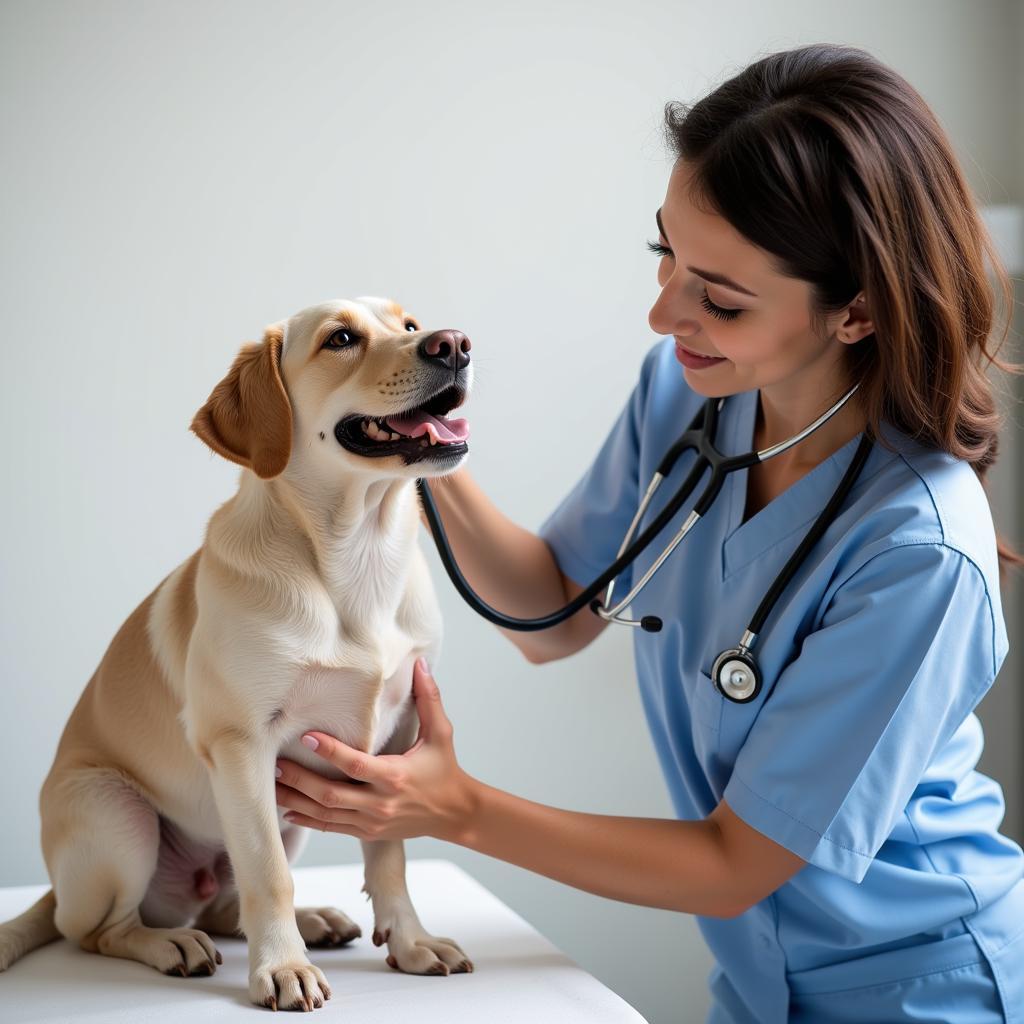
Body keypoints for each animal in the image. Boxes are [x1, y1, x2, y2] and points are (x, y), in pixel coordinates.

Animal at [0, 296, 477, 1007]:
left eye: (411, 325)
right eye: (341, 339)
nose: (455, 345)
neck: (359, 556)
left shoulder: (397, 745)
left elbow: (390, 855)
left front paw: (412, 942)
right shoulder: (242, 745)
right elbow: (266, 874)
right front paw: (281, 968)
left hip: (291, 816)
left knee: (224, 907)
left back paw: (314, 919)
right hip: (117, 815)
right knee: (100, 930)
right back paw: (171, 943)